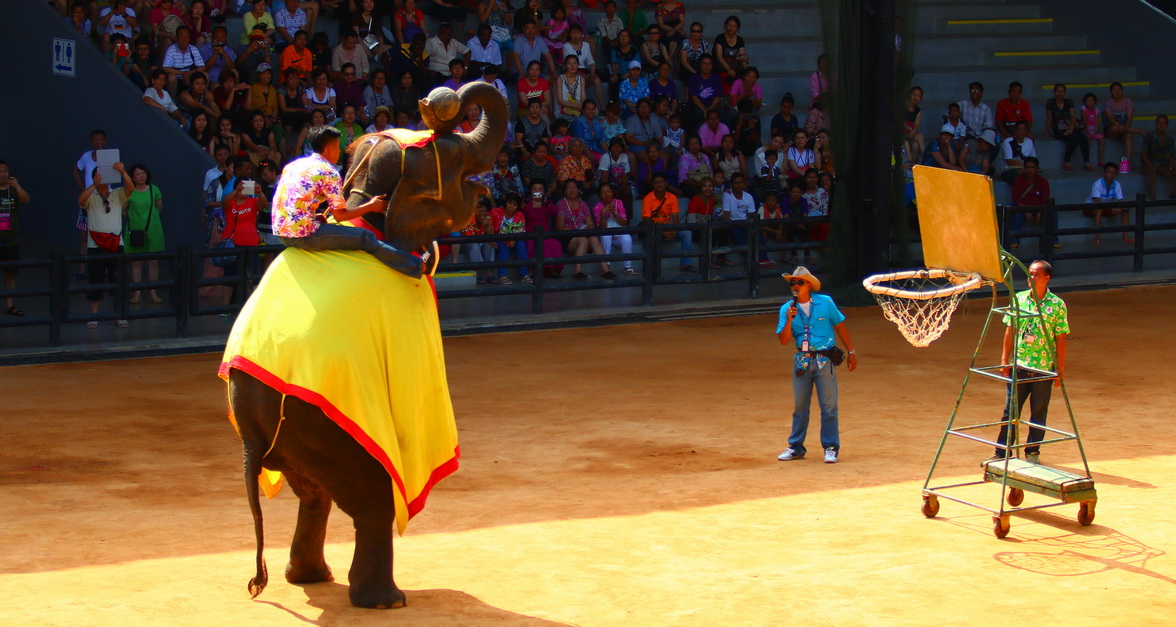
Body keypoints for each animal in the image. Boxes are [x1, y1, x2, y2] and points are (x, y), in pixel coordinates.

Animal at [224, 79, 510, 607]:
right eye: (455, 157)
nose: (441, 100)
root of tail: (252, 438)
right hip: (323, 426)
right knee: (372, 499)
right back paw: (384, 599)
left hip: (289, 434)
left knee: (312, 490)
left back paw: (311, 578)